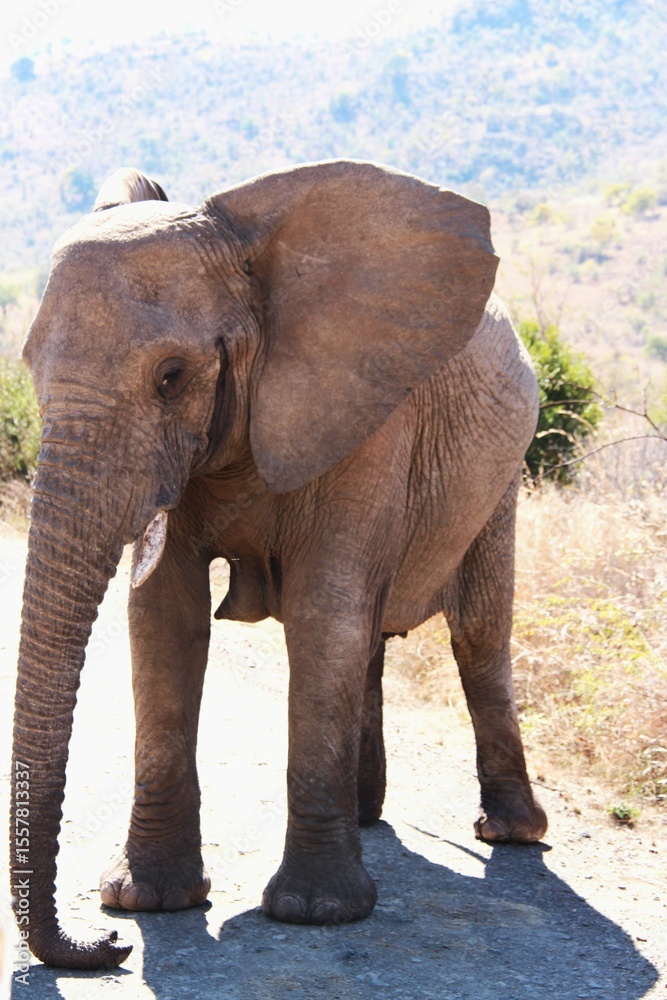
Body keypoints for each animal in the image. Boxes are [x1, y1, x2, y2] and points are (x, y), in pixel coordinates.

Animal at [10, 160, 547, 971]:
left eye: (172, 376)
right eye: (30, 370)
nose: (105, 946)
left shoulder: (367, 411)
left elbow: (323, 611)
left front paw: (316, 913)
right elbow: (162, 621)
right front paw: (145, 902)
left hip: (502, 474)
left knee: (477, 634)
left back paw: (510, 834)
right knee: (369, 638)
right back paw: (365, 816)